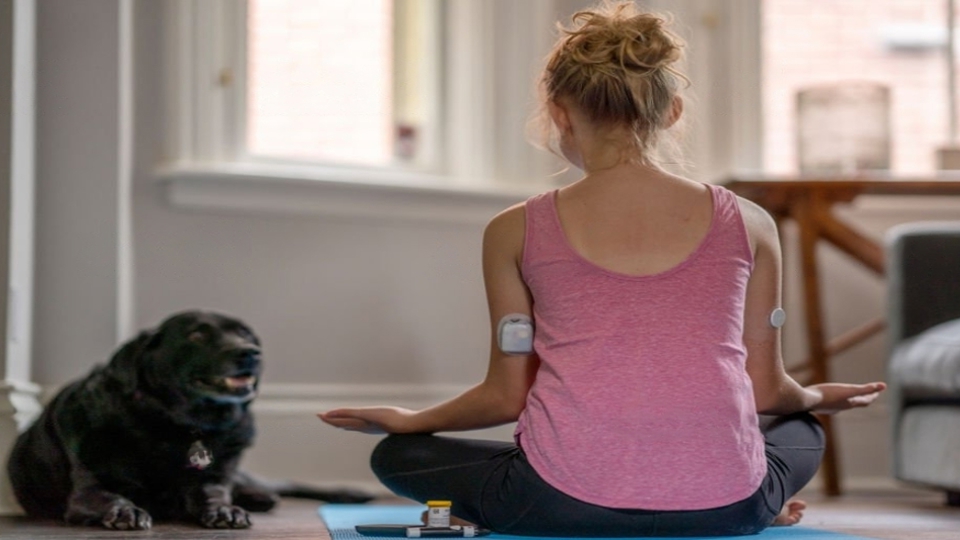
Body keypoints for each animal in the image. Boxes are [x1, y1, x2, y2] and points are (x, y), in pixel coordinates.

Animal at [6, 310, 372, 528]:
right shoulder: (88, 493)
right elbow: (111, 496)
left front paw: (224, 510)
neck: (179, 427)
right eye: (197, 335)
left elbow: (214, 492)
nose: (251, 353)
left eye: (246, 335)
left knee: (283, 483)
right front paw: (126, 510)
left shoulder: (213, 477)